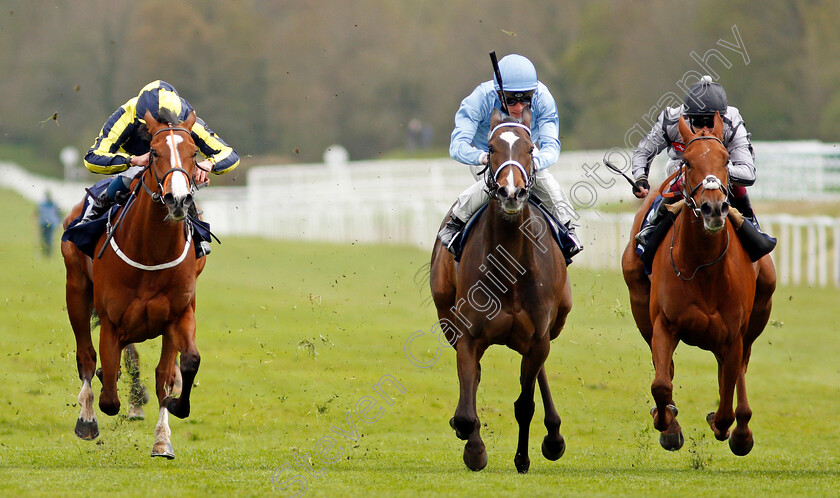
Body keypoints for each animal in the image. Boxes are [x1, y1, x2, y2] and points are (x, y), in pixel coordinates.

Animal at [61, 110, 206, 460]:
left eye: (194, 152)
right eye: (154, 152)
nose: (178, 199)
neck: (151, 252)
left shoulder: (179, 314)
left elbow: (180, 367)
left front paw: (167, 429)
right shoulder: (112, 320)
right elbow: (109, 395)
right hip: (76, 290)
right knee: (86, 356)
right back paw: (87, 418)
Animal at [434, 107, 572, 472]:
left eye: (531, 148)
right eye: (492, 148)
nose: (512, 192)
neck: (508, 266)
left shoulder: (538, 336)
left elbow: (525, 404)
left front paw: (523, 458)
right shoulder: (468, 335)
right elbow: (466, 409)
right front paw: (474, 449)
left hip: (555, 322)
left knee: (538, 373)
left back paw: (554, 437)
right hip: (446, 317)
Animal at [620, 113, 776, 456]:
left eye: (726, 159)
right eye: (688, 162)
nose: (713, 208)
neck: (703, 270)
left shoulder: (733, 336)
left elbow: (728, 398)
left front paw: (724, 425)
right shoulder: (664, 324)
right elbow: (661, 383)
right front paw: (667, 424)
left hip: (758, 312)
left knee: (740, 372)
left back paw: (741, 431)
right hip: (640, 304)